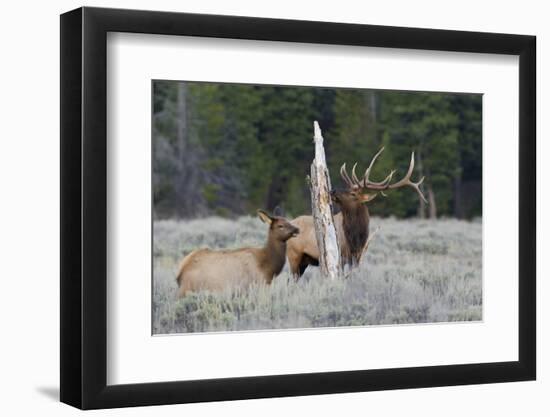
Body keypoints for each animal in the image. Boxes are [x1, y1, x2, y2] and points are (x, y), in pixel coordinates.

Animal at [286, 148, 430, 278]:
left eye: (353, 193)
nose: (332, 190)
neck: (356, 236)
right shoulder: (342, 255)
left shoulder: (357, 255)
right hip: (294, 256)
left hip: (303, 262)